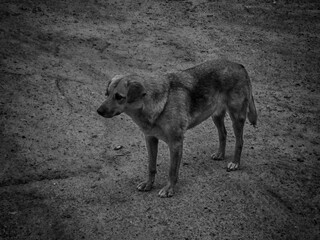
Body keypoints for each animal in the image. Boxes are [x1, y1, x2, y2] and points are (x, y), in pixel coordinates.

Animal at [97, 59, 258, 197]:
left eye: (119, 97)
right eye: (107, 94)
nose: (98, 111)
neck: (159, 103)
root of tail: (238, 65)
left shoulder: (175, 143)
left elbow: (172, 170)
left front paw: (169, 189)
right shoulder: (150, 139)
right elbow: (151, 166)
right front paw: (149, 184)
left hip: (237, 117)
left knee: (240, 141)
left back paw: (235, 163)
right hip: (216, 115)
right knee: (223, 134)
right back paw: (220, 154)